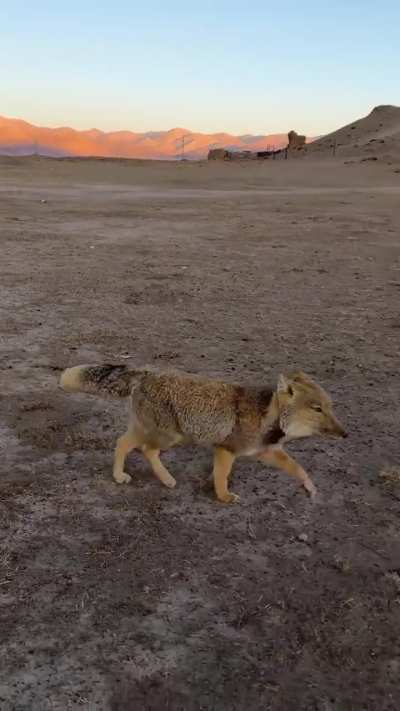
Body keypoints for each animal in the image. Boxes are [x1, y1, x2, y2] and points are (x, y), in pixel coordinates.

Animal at [59, 364, 347, 504]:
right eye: (317, 409)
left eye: (331, 407)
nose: (345, 434)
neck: (268, 415)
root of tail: (148, 373)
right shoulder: (226, 449)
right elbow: (222, 476)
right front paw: (223, 497)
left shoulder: (265, 451)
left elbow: (298, 468)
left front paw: (309, 486)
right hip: (166, 436)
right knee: (136, 447)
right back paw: (136, 477)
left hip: (152, 431)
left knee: (128, 443)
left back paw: (157, 478)